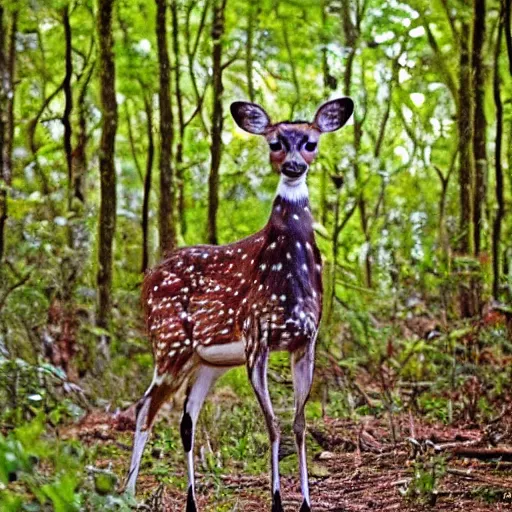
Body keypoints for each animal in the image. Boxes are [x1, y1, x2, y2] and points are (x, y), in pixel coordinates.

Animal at [126, 98, 354, 510]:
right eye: (275, 142)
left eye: (311, 142)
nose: (294, 166)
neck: (286, 272)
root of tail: (148, 277)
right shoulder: (256, 336)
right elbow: (273, 424)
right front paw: (277, 501)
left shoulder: (306, 339)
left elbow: (299, 423)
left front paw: (305, 503)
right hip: (169, 343)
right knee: (144, 407)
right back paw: (126, 495)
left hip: (207, 361)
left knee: (187, 418)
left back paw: (191, 502)